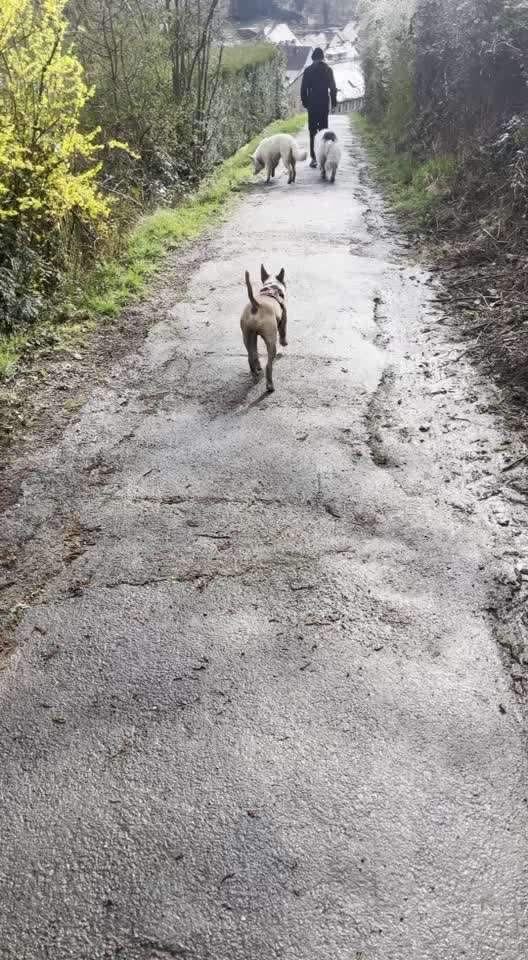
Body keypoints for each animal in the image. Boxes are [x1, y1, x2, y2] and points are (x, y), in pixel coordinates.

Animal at [240, 264, 286, 392]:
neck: (271, 287)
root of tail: (256, 305)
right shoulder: (284, 319)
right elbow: (283, 332)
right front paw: (284, 343)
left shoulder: (253, 336)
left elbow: (255, 351)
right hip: (270, 340)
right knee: (269, 365)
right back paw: (270, 385)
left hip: (247, 336)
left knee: (251, 356)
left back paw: (256, 371)